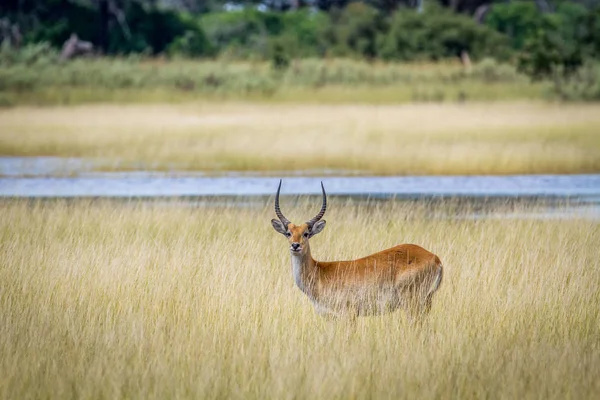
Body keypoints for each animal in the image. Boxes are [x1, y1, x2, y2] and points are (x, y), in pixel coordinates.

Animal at [272, 181, 446, 318]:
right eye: (288, 233)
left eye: (306, 233)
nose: (295, 245)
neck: (319, 273)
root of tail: (435, 257)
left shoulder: (349, 315)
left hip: (412, 304)